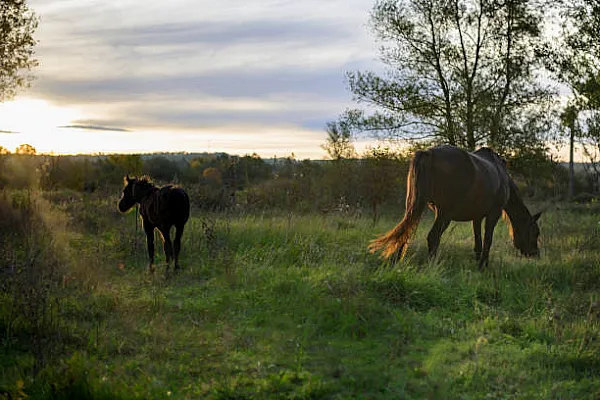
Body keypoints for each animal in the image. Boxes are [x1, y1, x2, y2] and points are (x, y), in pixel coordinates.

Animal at [368, 145, 540, 270]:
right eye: (535, 233)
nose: (535, 254)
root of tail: (429, 153)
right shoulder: (493, 214)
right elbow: (487, 240)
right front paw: (483, 265)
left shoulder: (477, 217)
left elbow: (478, 241)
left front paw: (478, 263)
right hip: (444, 214)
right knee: (433, 237)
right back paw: (432, 265)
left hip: (417, 207)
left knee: (406, 231)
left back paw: (396, 261)